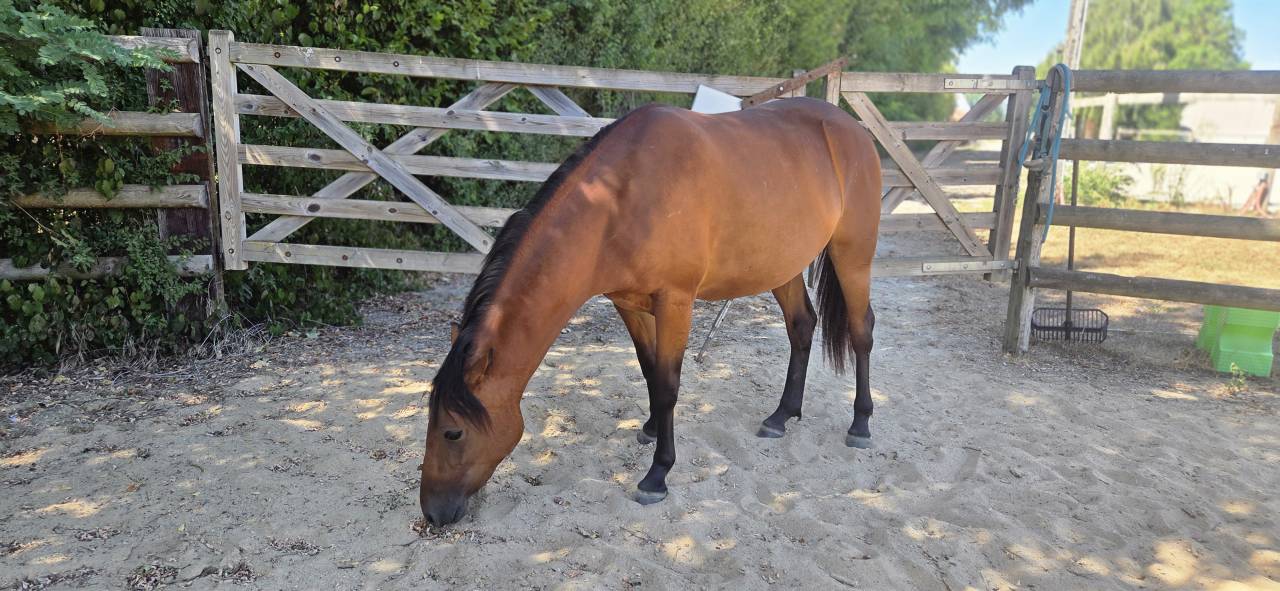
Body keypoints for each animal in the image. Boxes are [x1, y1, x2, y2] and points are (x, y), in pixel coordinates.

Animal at [420, 97, 881, 526]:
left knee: (862, 331)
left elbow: (667, 385)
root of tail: (851, 130)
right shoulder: (629, 304)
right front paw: (651, 430)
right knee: (801, 326)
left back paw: (860, 425)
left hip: (853, 256)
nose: (432, 513)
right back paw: (782, 416)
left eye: (452, 432)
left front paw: (657, 475)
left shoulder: (675, 301)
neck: (620, 198)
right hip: (782, 265)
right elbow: (649, 370)